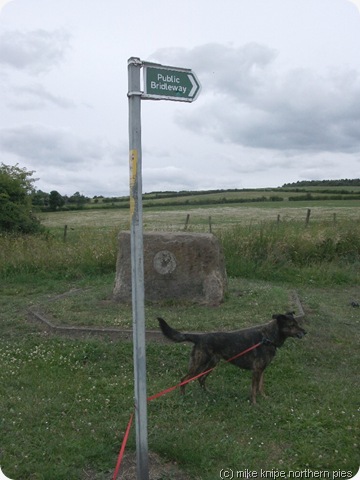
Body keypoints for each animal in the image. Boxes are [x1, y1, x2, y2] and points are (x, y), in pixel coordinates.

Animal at [156, 314, 306, 404]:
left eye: (297, 323)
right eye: (292, 325)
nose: (305, 331)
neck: (267, 338)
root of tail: (199, 337)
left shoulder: (262, 370)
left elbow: (260, 387)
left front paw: (264, 398)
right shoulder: (256, 370)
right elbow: (254, 389)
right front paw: (254, 404)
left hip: (211, 364)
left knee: (201, 379)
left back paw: (209, 393)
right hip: (198, 364)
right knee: (184, 379)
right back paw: (183, 397)